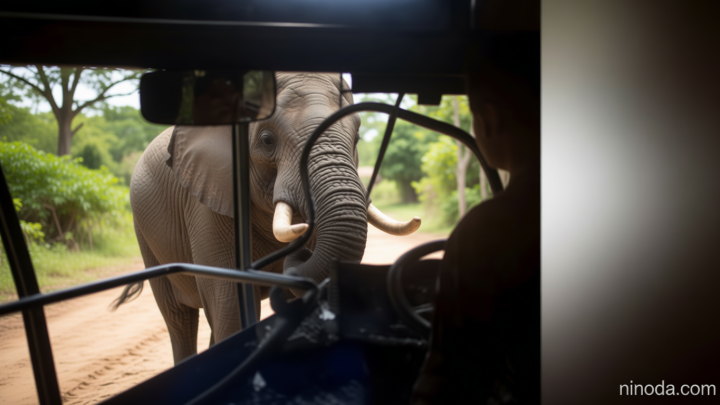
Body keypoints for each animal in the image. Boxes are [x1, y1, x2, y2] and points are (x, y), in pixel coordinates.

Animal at [114, 72, 421, 364]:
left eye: (356, 138)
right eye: (266, 140)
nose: (302, 249)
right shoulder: (208, 199)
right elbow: (231, 304)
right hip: (144, 234)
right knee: (178, 319)